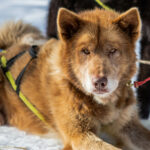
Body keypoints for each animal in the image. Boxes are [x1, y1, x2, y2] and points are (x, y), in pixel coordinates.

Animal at [0, 6, 150, 150]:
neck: (100, 103)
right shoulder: (79, 135)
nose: (99, 82)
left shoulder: (128, 127)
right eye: (85, 51)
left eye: (112, 50)